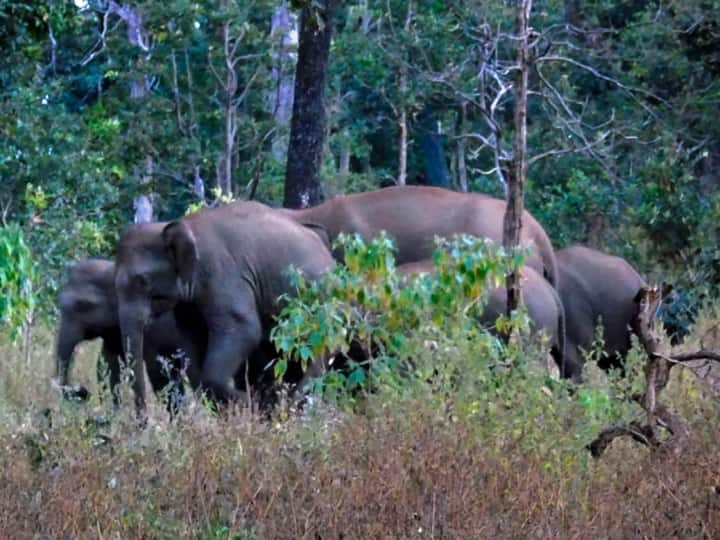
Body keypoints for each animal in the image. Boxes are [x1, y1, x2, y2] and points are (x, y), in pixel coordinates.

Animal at [54, 258, 202, 414]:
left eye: (83, 305)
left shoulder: (154, 331)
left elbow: (157, 369)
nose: (83, 392)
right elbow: (108, 363)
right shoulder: (113, 331)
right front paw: (114, 413)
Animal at [114, 199, 336, 414]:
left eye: (143, 281)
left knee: (315, 359)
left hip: (321, 314)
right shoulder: (189, 304)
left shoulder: (222, 274)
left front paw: (249, 405)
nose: (143, 420)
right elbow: (194, 340)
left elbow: (244, 329)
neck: (182, 225)